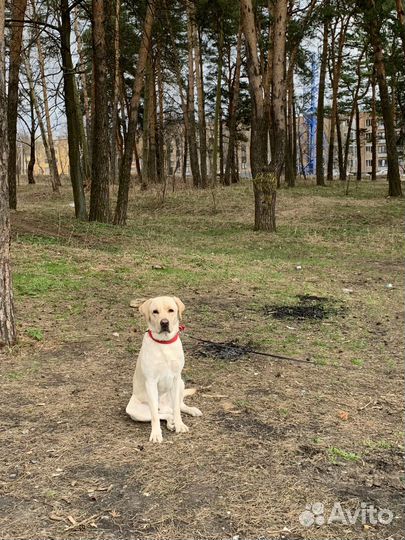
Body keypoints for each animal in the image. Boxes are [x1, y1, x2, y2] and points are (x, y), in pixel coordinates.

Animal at [125, 296, 201, 442]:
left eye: (171, 310)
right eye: (155, 311)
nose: (164, 323)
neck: (164, 343)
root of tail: (165, 406)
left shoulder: (176, 378)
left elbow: (177, 409)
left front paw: (180, 425)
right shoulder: (151, 382)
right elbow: (155, 415)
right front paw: (156, 434)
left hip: (181, 383)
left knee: (177, 406)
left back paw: (190, 411)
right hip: (134, 411)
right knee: (163, 414)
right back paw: (170, 422)